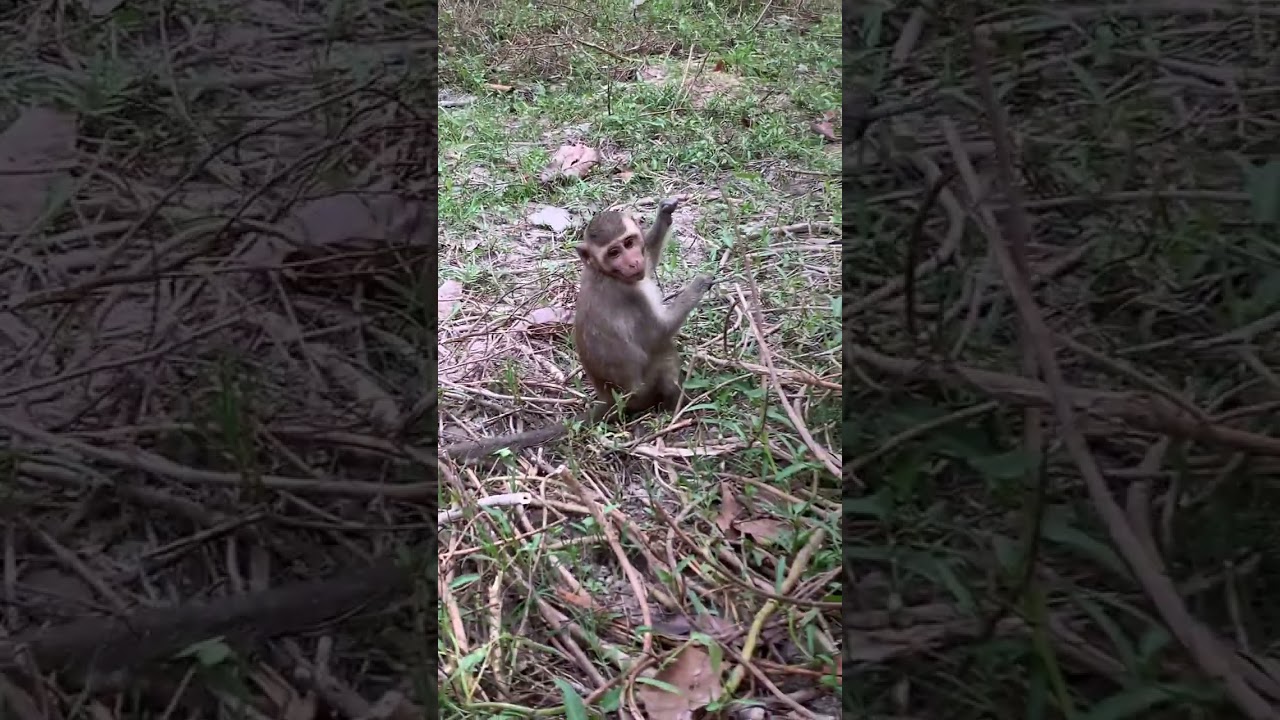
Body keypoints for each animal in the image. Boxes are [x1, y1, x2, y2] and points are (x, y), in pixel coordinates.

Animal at [442, 197, 713, 462]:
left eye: (629, 242)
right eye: (613, 252)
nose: (633, 261)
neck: (606, 273)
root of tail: (612, 400)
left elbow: (650, 259)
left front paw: (663, 216)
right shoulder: (632, 298)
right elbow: (659, 334)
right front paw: (699, 284)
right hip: (643, 390)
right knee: (664, 355)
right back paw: (677, 405)